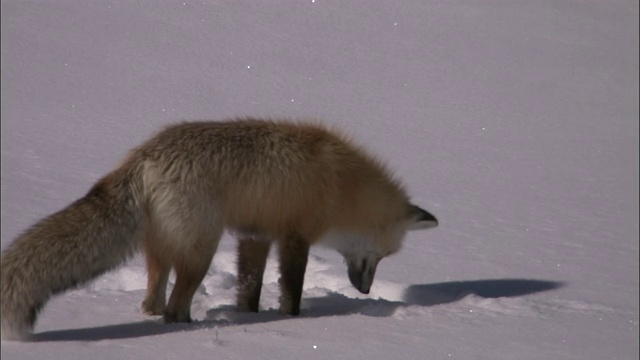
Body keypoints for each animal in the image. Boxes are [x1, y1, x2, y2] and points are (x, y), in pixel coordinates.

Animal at [0, 119, 438, 340]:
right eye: (380, 256)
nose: (364, 291)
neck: (340, 184)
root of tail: (144, 155)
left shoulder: (256, 235)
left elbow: (250, 287)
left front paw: (249, 316)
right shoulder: (293, 238)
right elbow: (291, 293)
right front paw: (290, 321)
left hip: (166, 248)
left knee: (153, 301)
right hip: (201, 251)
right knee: (174, 307)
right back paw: (193, 329)